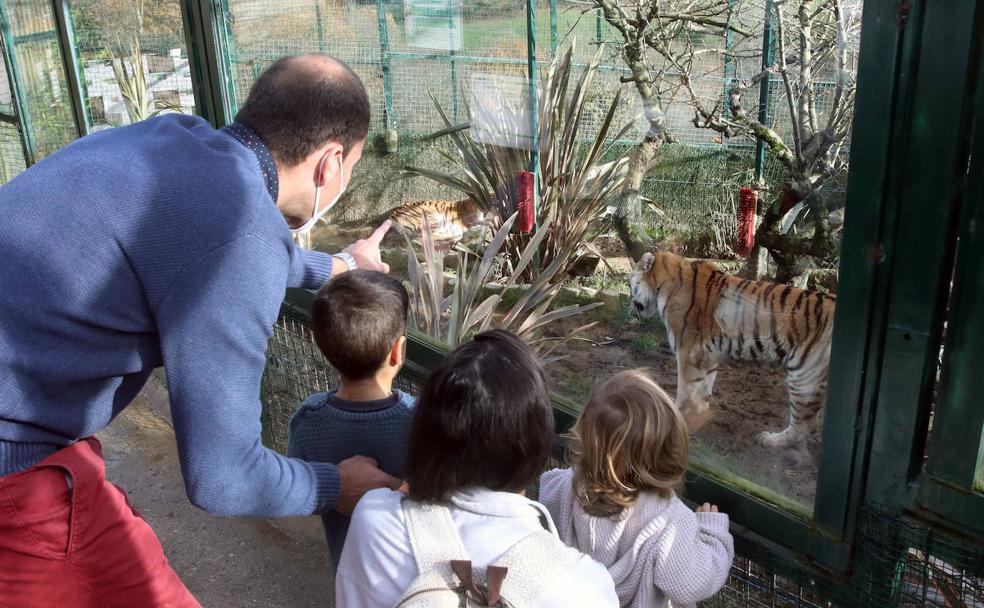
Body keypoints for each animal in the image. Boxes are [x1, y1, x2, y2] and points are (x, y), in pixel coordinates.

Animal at [636, 251, 836, 452]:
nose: (631, 304)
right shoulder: (705, 355)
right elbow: (704, 387)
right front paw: (698, 414)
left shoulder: (688, 352)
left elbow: (686, 390)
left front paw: (679, 416)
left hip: (804, 376)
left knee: (806, 426)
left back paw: (770, 440)